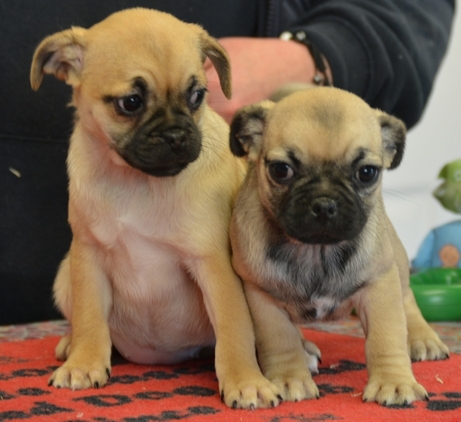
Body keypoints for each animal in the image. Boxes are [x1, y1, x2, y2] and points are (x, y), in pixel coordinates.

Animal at [30, 7, 280, 408]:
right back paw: (73, 345)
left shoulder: (215, 266)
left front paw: (245, 380)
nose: (176, 135)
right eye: (130, 102)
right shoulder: (88, 257)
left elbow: (234, 327)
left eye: (197, 96)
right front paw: (84, 362)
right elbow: (89, 317)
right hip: (65, 276)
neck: (138, 182)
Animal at [228, 87, 448, 408]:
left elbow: (386, 337)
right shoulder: (263, 297)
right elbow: (280, 341)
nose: (324, 203)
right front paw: (290, 378)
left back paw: (423, 338)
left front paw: (393, 382)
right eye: (281, 170)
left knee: (407, 298)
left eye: (367, 172)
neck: (315, 251)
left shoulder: (379, 286)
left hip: (395, 260)